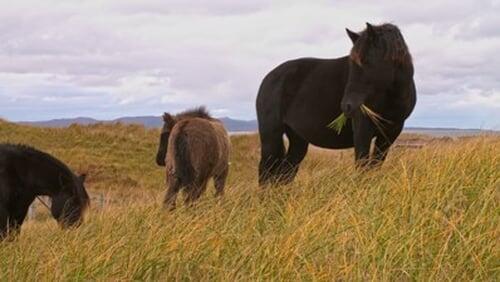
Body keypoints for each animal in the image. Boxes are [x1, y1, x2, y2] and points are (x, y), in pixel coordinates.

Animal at [256, 22, 416, 185]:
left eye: (365, 62)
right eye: (351, 64)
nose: (347, 106)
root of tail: (269, 77)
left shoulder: (390, 132)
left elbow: (375, 165)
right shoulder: (363, 128)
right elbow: (362, 164)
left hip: (297, 138)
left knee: (286, 172)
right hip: (271, 134)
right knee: (266, 170)